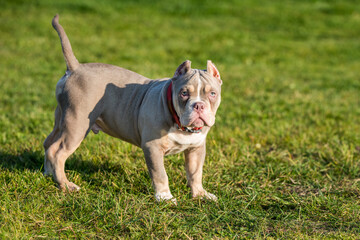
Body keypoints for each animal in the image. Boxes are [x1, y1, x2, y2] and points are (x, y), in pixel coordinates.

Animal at [43, 14, 221, 202]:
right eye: (184, 93)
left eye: (212, 94)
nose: (199, 105)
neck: (179, 123)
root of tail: (75, 68)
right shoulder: (153, 148)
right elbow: (160, 174)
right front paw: (165, 198)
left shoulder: (196, 148)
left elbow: (195, 173)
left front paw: (200, 194)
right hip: (77, 124)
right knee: (58, 152)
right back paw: (65, 185)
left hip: (62, 118)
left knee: (48, 143)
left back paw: (49, 174)